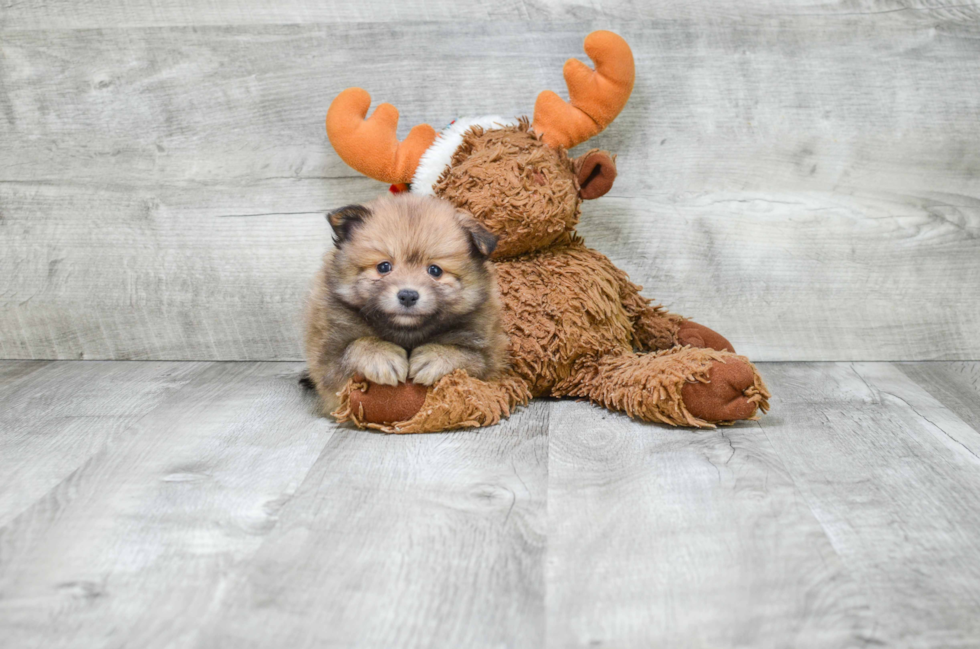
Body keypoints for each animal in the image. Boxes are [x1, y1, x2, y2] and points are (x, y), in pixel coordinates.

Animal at [304, 191, 506, 410]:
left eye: (435, 270)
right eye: (384, 267)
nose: (408, 295)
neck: (406, 332)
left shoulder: (489, 358)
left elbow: (467, 355)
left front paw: (435, 356)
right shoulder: (328, 361)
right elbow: (354, 347)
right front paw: (381, 355)